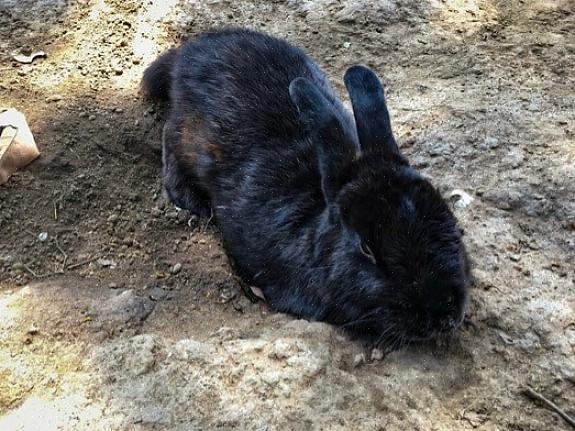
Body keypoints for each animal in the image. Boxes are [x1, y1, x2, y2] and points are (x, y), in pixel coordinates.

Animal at [142, 29, 470, 348]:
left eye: (454, 223)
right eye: (366, 248)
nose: (442, 316)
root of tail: (187, 54)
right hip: (187, 135)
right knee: (169, 138)